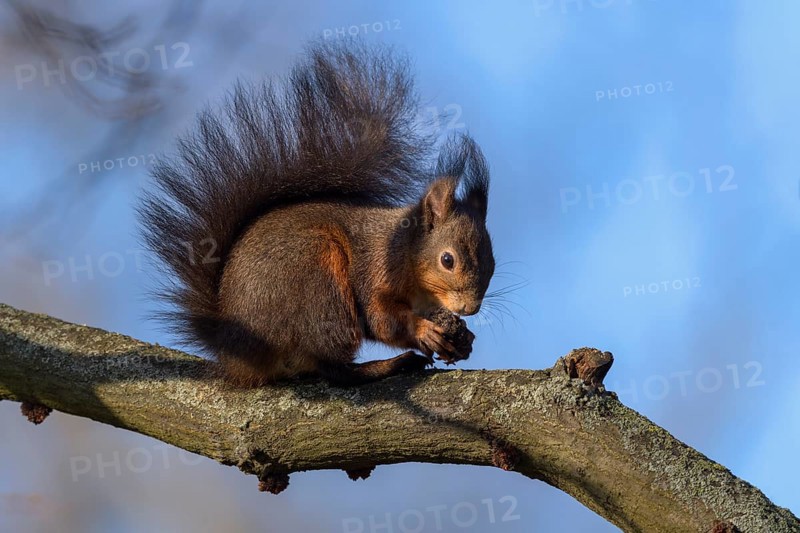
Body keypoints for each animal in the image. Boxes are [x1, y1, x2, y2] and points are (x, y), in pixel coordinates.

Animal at [139, 41, 495, 387]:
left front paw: (464, 339)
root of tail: (240, 356)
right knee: (333, 369)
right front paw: (426, 331)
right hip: (318, 281)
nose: (470, 308)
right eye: (447, 260)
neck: (407, 253)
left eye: (492, 263)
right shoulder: (377, 270)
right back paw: (387, 366)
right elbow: (381, 320)